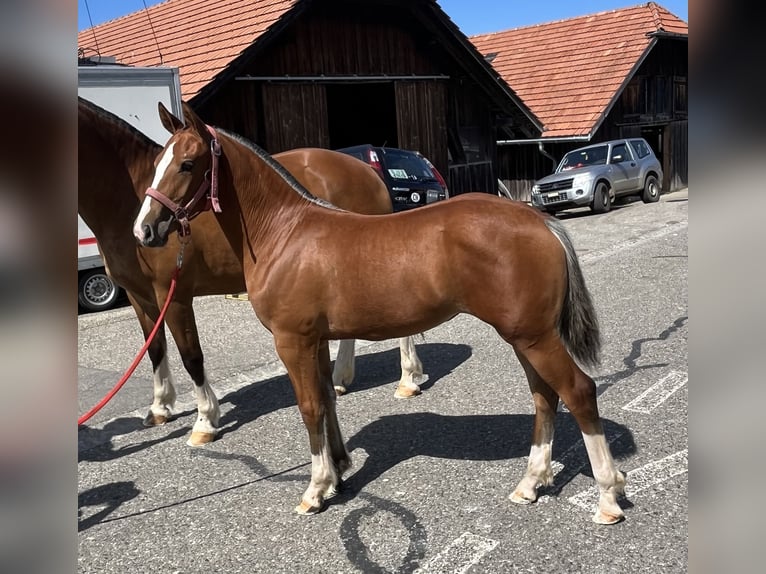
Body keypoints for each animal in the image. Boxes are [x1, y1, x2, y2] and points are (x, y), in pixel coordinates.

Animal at [78, 97, 426, 448]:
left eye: (188, 165)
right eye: (157, 163)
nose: (145, 230)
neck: (125, 199)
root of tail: (365, 169)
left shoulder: (174, 296)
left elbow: (192, 357)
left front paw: (205, 421)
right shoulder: (140, 297)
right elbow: (155, 350)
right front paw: (160, 407)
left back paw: (408, 379)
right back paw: (342, 378)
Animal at [135, 102, 632, 528]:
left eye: (187, 163)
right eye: (157, 161)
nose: (145, 230)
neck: (285, 232)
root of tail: (541, 221)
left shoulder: (292, 340)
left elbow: (309, 406)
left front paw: (315, 489)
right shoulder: (316, 339)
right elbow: (327, 400)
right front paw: (338, 472)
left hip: (534, 336)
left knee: (578, 392)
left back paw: (608, 497)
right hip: (524, 335)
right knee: (545, 396)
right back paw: (530, 484)